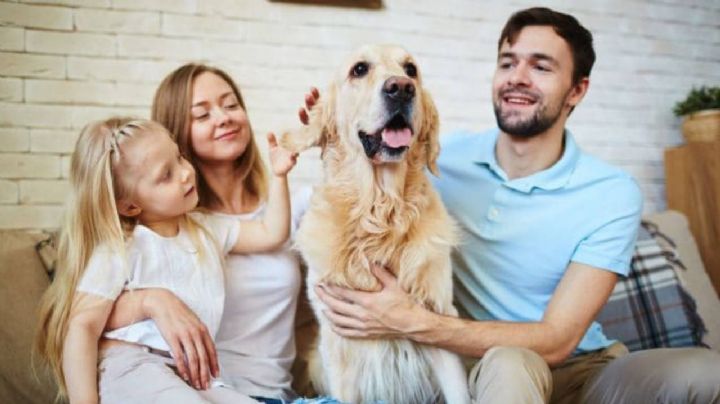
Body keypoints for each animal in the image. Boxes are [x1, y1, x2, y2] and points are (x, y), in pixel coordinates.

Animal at [284, 45, 470, 404]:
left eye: (411, 69)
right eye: (359, 69)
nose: (401, 88)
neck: (381, 212)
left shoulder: (438, 319)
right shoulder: (339, 346)